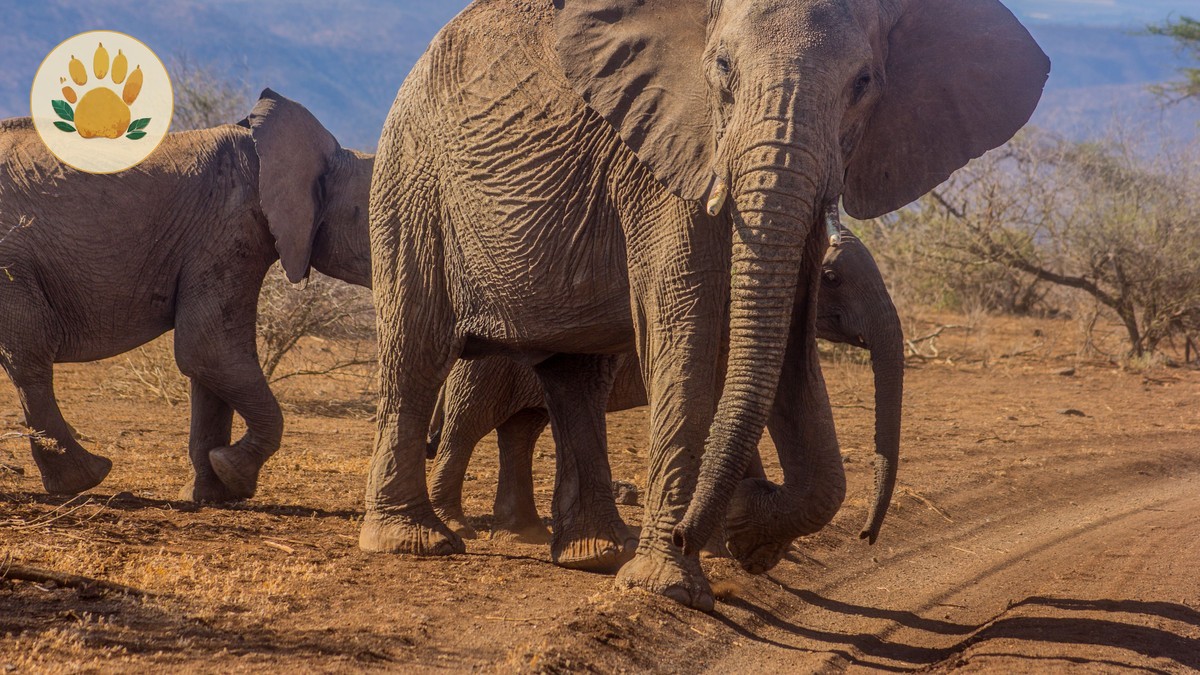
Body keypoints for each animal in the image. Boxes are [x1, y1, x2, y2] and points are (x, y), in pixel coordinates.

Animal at [0, 89, 373, 502]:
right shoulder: (228, 228)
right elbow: (210, 350)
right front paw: (233, 472)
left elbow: (209, 365)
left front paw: (209, 493)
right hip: (11, 257)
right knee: (30, 355)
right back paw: (85, 478)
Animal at [426, 225, 903, 560]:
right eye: (832, 277)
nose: (866, 536)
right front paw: (723, 544)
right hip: (486, 367)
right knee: (467, 426)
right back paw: (461, 528)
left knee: (521, 429)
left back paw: (526, 534)